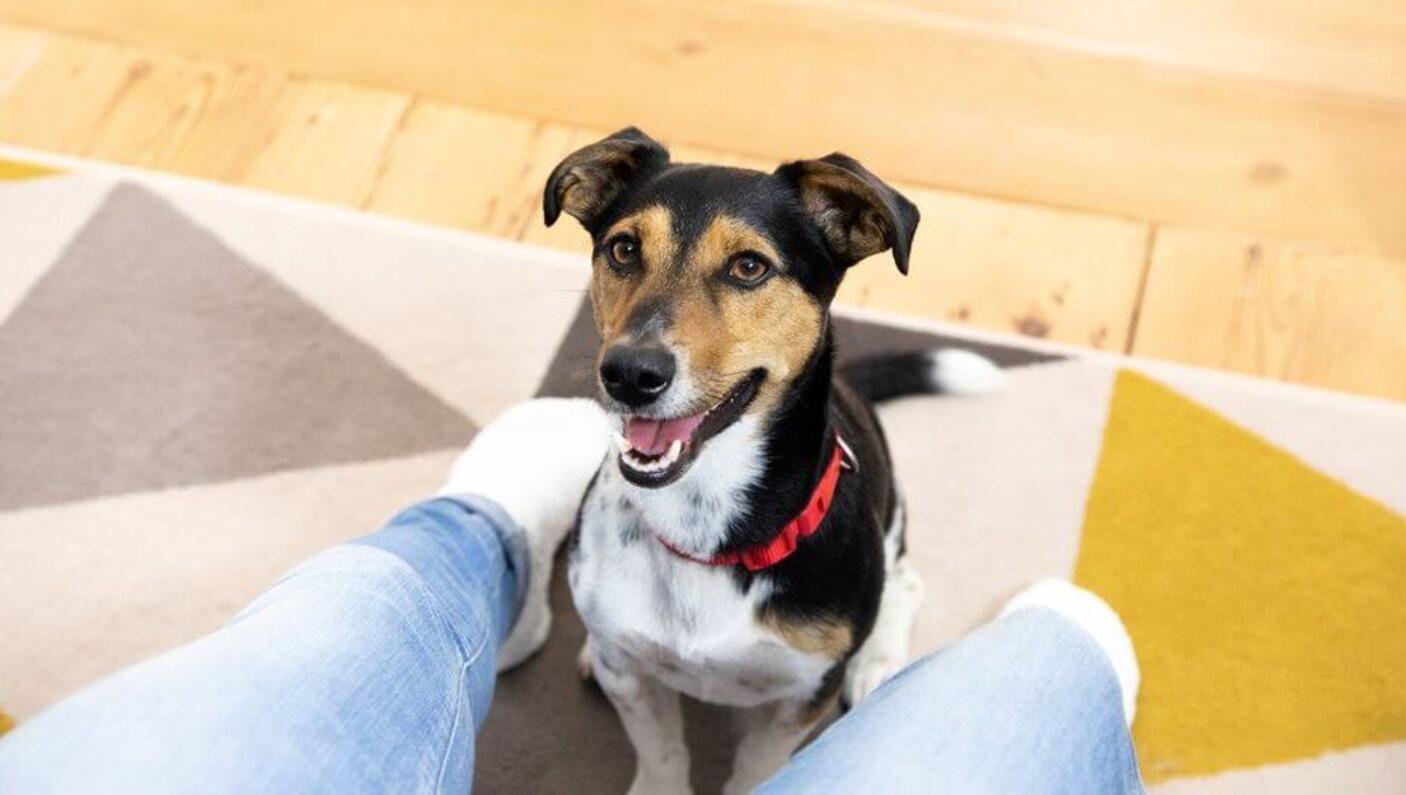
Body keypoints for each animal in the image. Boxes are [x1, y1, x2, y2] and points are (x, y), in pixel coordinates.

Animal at [542, 127, 1006, 787]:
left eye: (749, 266)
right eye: (624, 249)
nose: (629, 374)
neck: (704, 526)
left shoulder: (803, 691)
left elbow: (758, 766)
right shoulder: (630, 678)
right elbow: (661, 752)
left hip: (891, 523)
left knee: (906, 582)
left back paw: (879, 664)